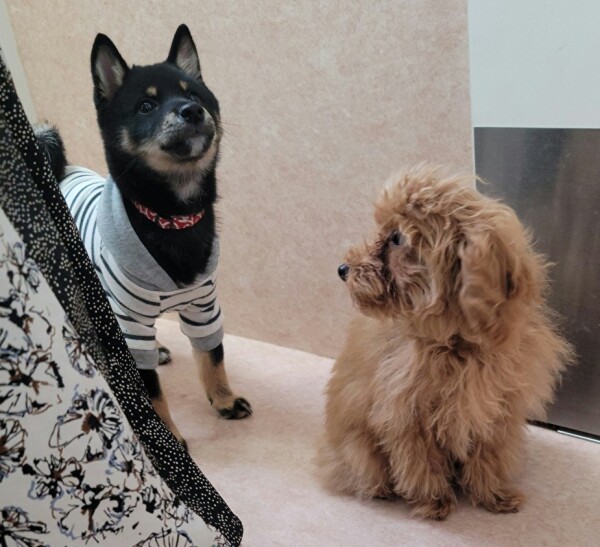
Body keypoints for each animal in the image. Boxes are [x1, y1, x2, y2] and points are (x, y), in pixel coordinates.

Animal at [36, 25, 251, 447]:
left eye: (194, 95)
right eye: (146, 107)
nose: (191, 110)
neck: (173, 220)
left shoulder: (203, 307)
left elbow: (212, 357)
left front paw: (223, 398)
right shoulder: (130, 318)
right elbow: (152, 393)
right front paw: (167, 438)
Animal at [317, 165, 574, 519]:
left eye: (397, 238)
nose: (343, 268)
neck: (458, 344)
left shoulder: (496, 411)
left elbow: (489, 457)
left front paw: (492, 494)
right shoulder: (407, 414)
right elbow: (420, 462)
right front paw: (434, 500)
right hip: (359, 448)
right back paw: (382, 489)